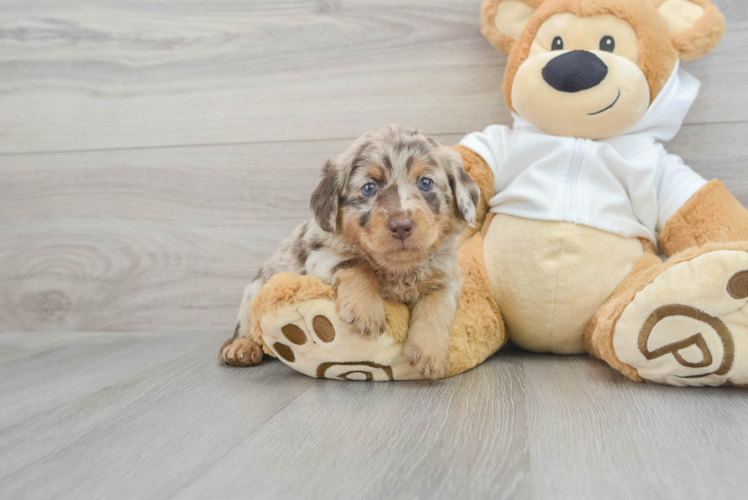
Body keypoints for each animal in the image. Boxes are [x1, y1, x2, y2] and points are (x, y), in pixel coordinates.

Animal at [219, 125, 482, 378]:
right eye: (369, 188)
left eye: (426, 182)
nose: (401, 226)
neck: (398, 268)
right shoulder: (318, 254)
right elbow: (356, 263)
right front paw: (365, 311)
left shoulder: (448, 277)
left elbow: (437, 306)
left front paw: (431, 352)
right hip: (253, 292)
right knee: (247, 328)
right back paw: (241, 348)